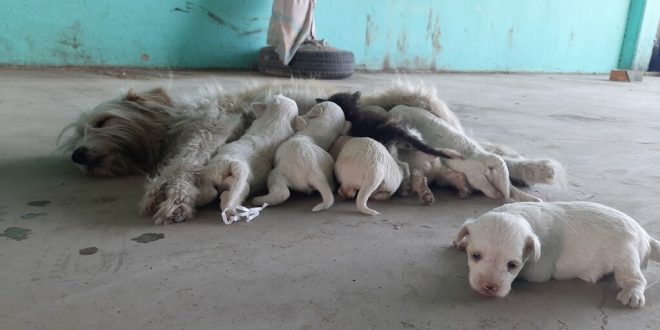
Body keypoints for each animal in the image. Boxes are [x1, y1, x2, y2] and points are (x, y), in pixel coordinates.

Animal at [454, 202, 660, 308]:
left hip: (626, 256)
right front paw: (462, 241)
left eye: (512, 265)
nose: (489, 287)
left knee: (636, 278)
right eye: (475, 255)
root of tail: (645, 235)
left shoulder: (539, 268)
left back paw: (632, 293)